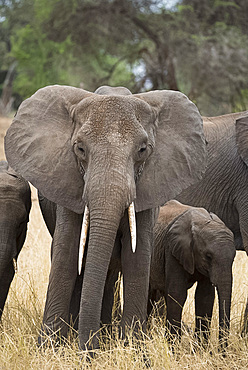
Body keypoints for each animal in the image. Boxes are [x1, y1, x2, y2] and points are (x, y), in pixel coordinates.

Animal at [4, 85, 206, 352]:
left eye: (143, 150)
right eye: (80, 148)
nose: (88, 351)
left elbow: (137, 257)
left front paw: (134, 351)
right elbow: (67, 254)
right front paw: (49, 349)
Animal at [148, 201, 235, 346]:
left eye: (234, 258)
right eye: (208, 256)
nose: (221, 350)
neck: (201, 221)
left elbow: (204, 297)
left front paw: (202, 348)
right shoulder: (172, 249)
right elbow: (177, 294)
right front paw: (174, 348)